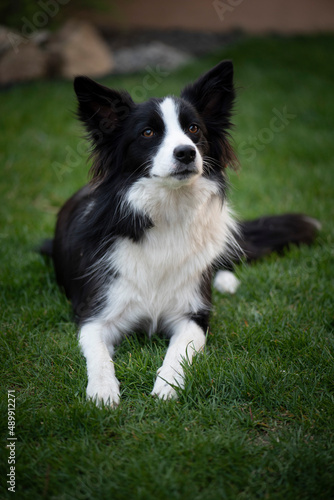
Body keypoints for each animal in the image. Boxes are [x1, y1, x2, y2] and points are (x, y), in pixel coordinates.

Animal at [43, 61, 320, 406]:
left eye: (194, 129)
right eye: (148, 133)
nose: (186, 153)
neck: (168, 213)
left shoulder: (193, 315)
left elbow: (180, 349)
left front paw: (168, 384)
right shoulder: (94, 315)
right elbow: (98, 354)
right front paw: (103, 392)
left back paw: (225, 280)